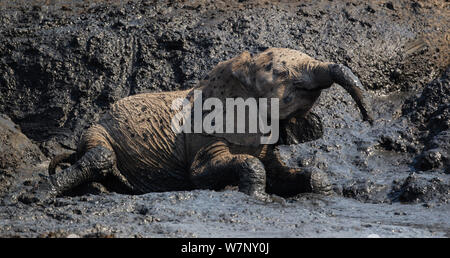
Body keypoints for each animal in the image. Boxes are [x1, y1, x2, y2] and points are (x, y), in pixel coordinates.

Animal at [23, 47, 372, 203]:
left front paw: (322, 194)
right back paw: (39, 196)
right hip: (98, 130)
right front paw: (256, 197)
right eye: (283, 74)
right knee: (100, 157)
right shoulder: (204, 135)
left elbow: (285, 172)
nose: (368, 118)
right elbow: (203, 173)